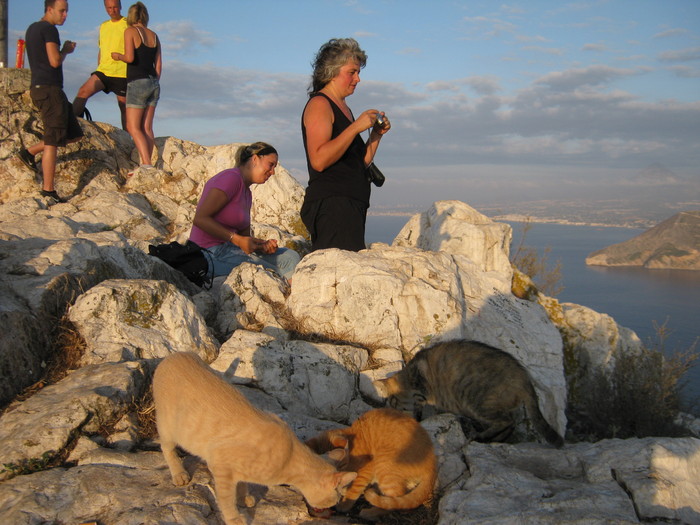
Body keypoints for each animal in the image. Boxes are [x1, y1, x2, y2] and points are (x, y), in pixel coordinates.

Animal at [155, 350, 358, 524]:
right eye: (337, 498)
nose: (335, 508)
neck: (289, 459)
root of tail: (174, 355)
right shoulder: (221, 467)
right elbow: (226, 499)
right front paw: (234, 519)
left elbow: (242, 484)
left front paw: (243, 498)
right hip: (168, 426)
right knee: (166, 447)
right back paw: (179, 474)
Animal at [306, 408, 438, 516]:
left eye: (341, 465)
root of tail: (433, 465)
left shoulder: (367, 468)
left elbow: (354, 488)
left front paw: (344, 504)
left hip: (384, 465)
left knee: (394, 501)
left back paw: (370, 512)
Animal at [378, 340, 564, 446]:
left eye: (392, 402)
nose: (391, 413)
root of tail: (524, 378)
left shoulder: (421, 391)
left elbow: (420, 408)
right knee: (510, 424)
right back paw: (495, 439)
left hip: (478, 400)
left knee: (505, 421)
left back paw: (480, 437)